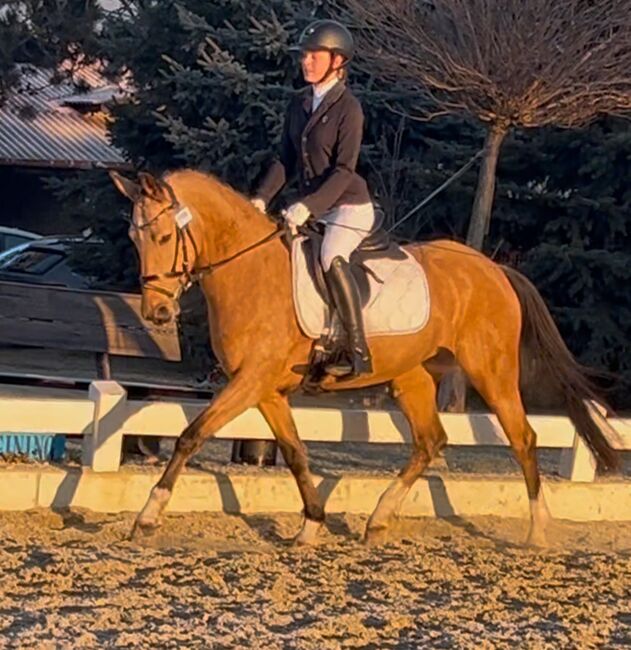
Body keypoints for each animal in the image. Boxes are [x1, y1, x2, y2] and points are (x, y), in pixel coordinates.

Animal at [108, 165, 616, 544]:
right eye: (134, 239)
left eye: (163, 238)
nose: (156, 312)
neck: (249, 268)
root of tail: (492, 268)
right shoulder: (266, 389)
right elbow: (295, 453)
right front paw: (311, 525)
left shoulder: (250, 380)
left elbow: (190, 436)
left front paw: (148, 515)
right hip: (412, 375)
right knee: (430, 441)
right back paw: (378, 519)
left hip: (490, 371)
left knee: (522, 439)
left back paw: (537, 531)